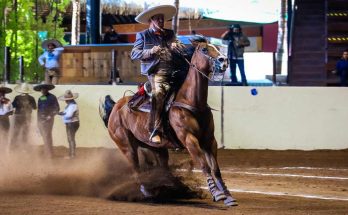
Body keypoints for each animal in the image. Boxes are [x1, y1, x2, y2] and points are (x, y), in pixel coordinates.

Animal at [101, 37, 237, 207]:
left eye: (217, 48)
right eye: (204, 49)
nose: (223, 60)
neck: (190, 101)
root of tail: (116, 107)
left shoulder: (209, 141)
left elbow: (215, 168)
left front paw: (228, 195)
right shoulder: (189, 140)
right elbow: (205, 166)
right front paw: (217, 194)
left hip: (157, 148)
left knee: (163, 169)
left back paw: (174, 189)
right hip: (126, 146)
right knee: (136, 170)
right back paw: (148, 192)